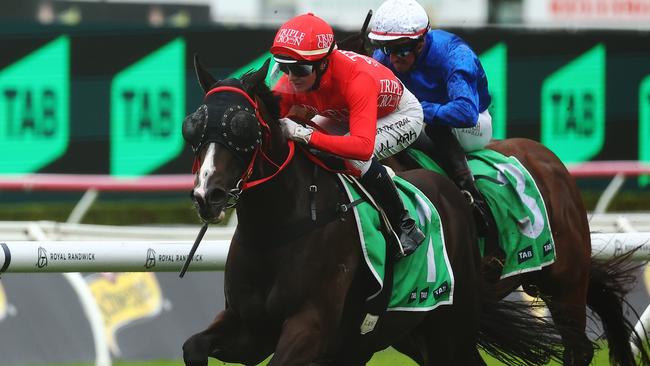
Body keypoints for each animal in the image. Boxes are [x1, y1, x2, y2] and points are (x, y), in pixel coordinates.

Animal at [180, 58, 560, 364]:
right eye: (194, 125)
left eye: (242, 126)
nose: (207, 195)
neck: (276, 229)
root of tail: (450, 190)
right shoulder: (252, 328)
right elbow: (192, 347)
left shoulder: (310, 324)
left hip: (452, 323)